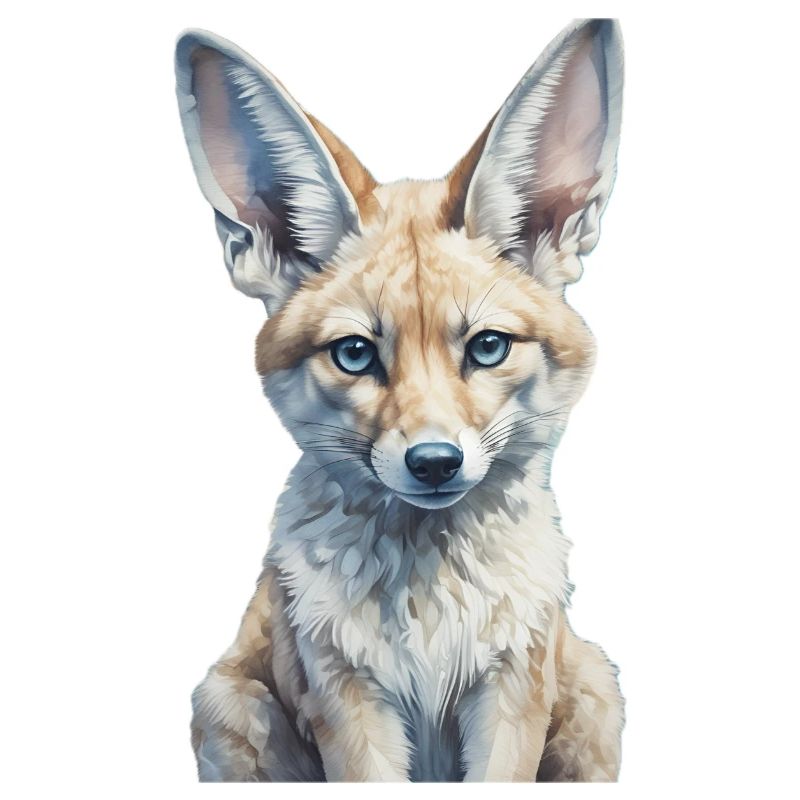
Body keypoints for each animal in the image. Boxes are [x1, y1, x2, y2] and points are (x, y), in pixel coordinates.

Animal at [175, 17, 624, 782]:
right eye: (356, 354)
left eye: (487, 347)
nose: (435, 462)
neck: (431, 609)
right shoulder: (347, 699)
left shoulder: (512, 691)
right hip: (226, 706)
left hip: (596, 692)